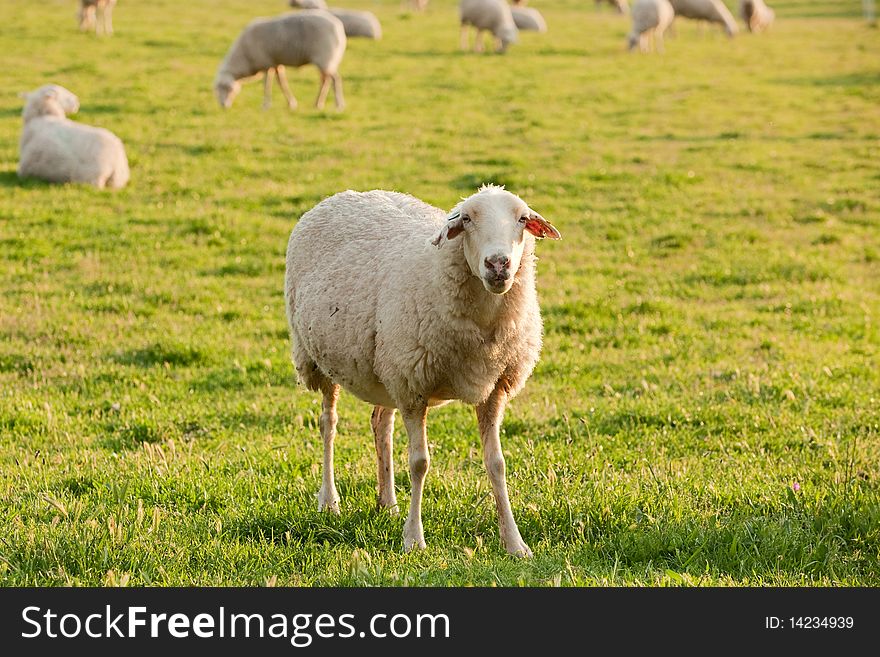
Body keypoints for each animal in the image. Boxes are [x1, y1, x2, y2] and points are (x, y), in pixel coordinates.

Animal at [215, 10, 346, 111]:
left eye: (225, 88)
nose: (223, 106)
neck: (244, 57)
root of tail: (339, 27)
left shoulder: (266, 64)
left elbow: (267, 84)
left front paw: (265, 105)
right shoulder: (276, 64)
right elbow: (282, 83)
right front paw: (291, 103)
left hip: (325, 57)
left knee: (335, 79)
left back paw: (339, 105)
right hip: (324, 60)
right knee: (325, 80)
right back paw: (317, 104)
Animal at [288, 183, 564, 552]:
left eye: (522, 219)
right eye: (466, 219)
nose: (497, 264)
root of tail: (346, 193)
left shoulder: (493, 388)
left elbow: (497, 464)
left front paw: (515, 543)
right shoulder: (413, 386)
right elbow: (420, 463)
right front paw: (413, 539)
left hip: (387, 368)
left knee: (381, 423)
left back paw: (387, 503)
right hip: (318, 357)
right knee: (328, 424)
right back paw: (329, 500)